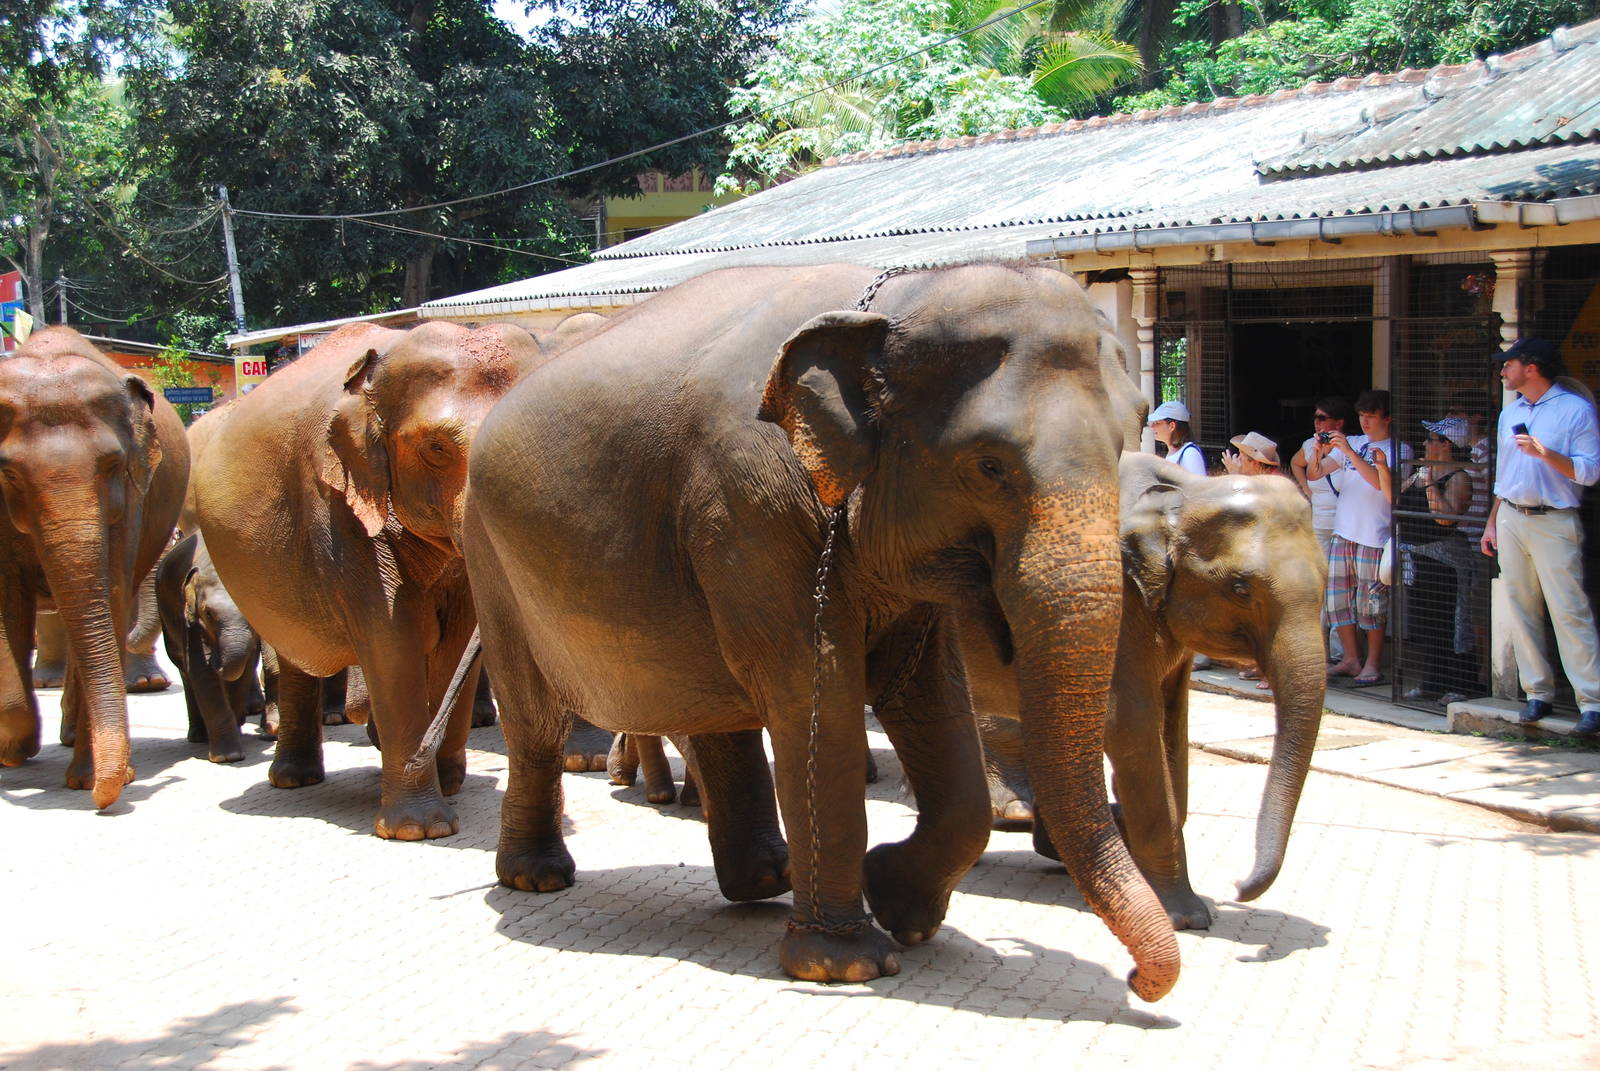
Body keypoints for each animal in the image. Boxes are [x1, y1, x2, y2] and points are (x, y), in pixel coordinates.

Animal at [0, 327, 190, 808]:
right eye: (8, 475)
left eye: (112, 466)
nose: (106, 799)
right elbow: (6, 601)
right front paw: (15, 750)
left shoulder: (133, 495)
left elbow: (113, 592)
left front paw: (89, 781)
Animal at [155, 531, 259, 763]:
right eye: (209, 614)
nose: (216, 659)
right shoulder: (188, 617)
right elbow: (201, 671)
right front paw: (228, 757)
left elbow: (245, 668)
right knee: (185, 673)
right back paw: (198, 736)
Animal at [193, 320, 543, 839]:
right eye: (436, 449)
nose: (423, 757)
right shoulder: (338, 505)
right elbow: (390, 636)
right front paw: (420, 829)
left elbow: (457, 635)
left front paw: (445, 784)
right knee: (295, 649)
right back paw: (295, 779)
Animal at [462, 263, 1179, 997]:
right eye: (988, 465)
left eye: (1125, 441)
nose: (1137, 980)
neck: (898, 296)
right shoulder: (747, 498)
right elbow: (818, 695)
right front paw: (847, 962)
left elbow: (932, 696)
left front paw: (899, 904)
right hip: (488, 555)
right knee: (535, 718)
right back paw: (539, 877)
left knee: (714, 707)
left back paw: (763, 879)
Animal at [969, 452, 1328, 930]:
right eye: (1240, 588)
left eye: (1327, 580)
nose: (1238, 887)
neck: (1184, 492)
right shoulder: (1110, 602)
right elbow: (1130, 723)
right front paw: (1187, 917)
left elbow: (1172, 725)